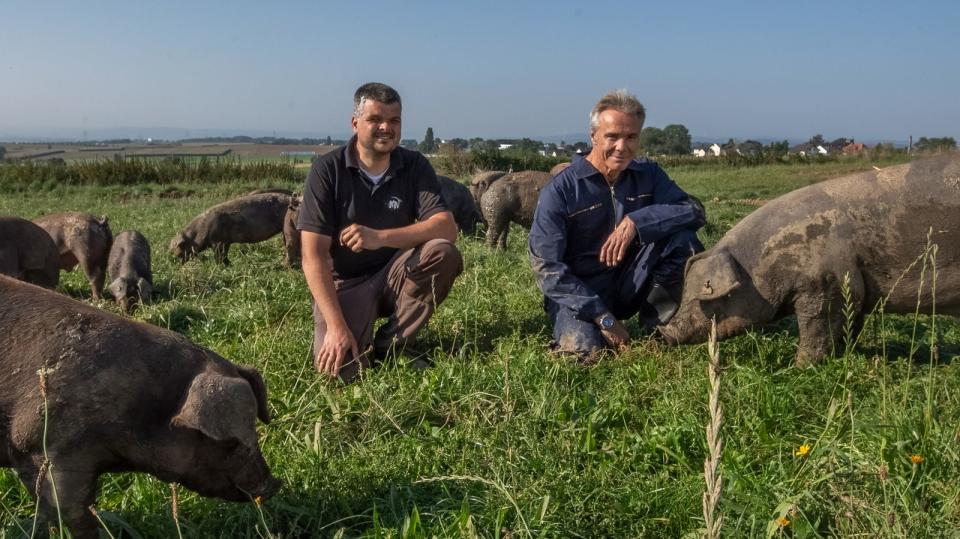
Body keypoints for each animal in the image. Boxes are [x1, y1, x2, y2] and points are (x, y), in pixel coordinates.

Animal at [660, 156, 960, 368]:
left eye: (704, 299)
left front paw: (800, 368)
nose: (665, 332)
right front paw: (846, 355)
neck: (758, 268)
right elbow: (850, 325)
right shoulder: (854, 287)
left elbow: (817, 326)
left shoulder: (826, 284)